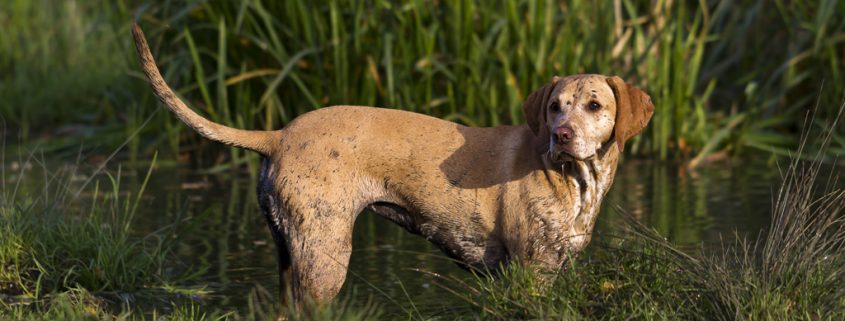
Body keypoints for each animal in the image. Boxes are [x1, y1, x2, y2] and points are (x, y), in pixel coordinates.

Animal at [130, 23, 652, 302]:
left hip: (289, 253)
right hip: (324, 257)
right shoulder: (531, 273)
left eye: (594, 106)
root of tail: (278, 135)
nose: (561, 136)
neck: (575, 180)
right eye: (554, 107)